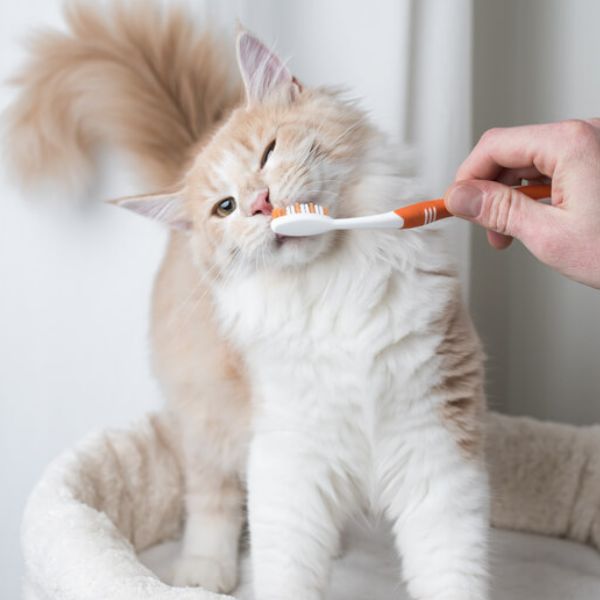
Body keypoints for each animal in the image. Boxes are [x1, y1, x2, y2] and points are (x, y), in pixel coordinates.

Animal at [7, 4, 490, 600]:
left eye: (268, 153)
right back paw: (203, 573)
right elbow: (284, 566)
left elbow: (450, 568)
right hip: (206, 419)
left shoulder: (435, 444)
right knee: (210, 500)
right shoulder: (288, 457)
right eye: (225, 207)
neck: (334, 286)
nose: (260, 204)